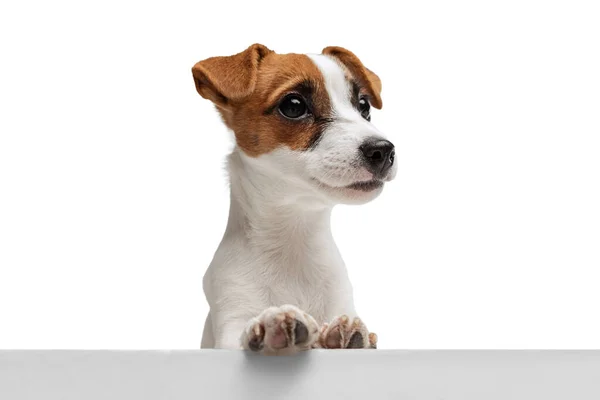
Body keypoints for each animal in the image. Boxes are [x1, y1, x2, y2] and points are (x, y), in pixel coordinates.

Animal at [192, 43, 396, 354]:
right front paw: (271, 328)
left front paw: (343, 338)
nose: (384, 151)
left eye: (364, 106)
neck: (294, 239)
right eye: (294, 106)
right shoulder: (229, 320)